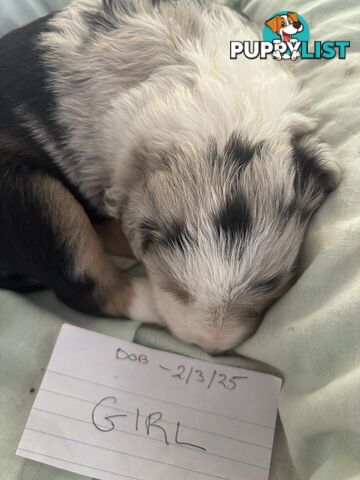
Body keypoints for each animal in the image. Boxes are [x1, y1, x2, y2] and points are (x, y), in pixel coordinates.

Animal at [0, 0, 340, 352]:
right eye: (175, 288)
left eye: (269, 288)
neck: (221, 120)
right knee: (85, 284)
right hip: (36, 198)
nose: (212, 347)